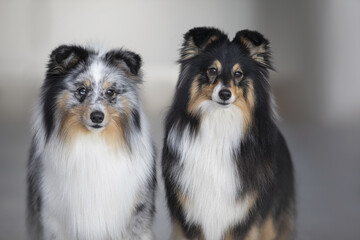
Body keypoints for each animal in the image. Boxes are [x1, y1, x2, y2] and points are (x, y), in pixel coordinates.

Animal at [27, 45, 157, 240]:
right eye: (82, 90)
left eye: (110, 92)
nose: (97, 116)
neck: (93, 142)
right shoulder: (53, 218)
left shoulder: (136, 215)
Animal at [162, 27, 296, 239]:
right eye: (212, 70)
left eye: (238, 73)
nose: (225, 94)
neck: (220, 122)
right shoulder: (188, 216)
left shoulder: (245, 218)